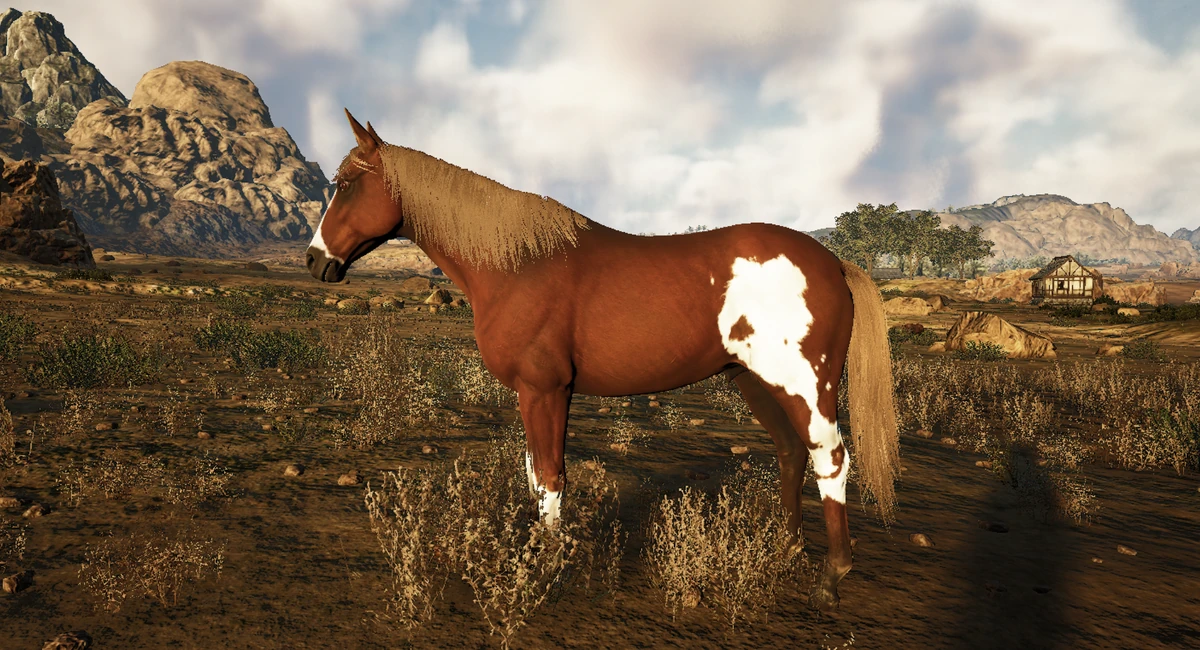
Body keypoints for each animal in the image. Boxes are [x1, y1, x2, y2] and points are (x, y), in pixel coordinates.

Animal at [307, 110, 900, 612]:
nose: (315, 261)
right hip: (754, 381)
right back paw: (784, 551)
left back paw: (831, 578)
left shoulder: (546, 389)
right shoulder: (533, 394)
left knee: (830, 457)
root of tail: (833, 263)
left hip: (806, 383)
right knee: (791, 452)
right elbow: (534, 474)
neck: (516, 267)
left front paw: (545, 570)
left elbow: (551, 477)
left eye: (347, 183)